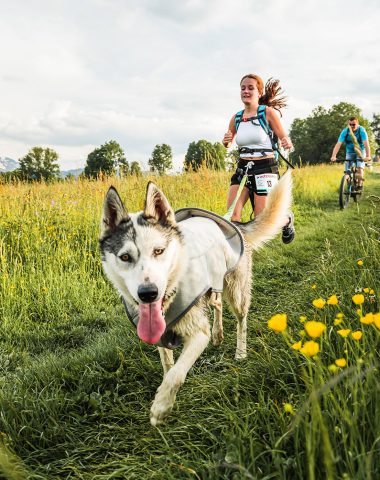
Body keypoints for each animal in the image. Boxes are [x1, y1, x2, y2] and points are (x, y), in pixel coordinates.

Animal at [99, 172, 292, 424]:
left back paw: (240, 351)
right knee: (217, 304)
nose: (148, 293)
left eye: (159, 251)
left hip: (237, 292)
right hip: (213, 284)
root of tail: (233, 222)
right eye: (125, 257)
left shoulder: (199, 334)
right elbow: (169, 367)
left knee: (241, 321)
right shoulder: (159, 335)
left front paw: (161, 407)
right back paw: (218, 335)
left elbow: (177, 374)